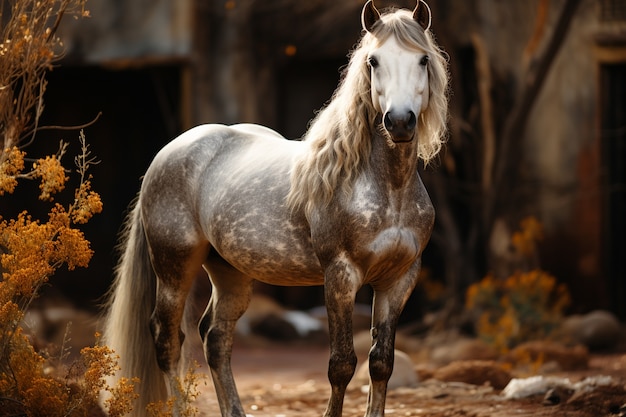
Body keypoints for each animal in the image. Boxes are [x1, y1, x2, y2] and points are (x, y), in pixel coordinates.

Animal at [101, 1, 444, 414]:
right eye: (373, 61)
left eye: (423, 59)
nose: (399, 121)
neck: (387, 188)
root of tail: (166, 154)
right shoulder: (340, 275)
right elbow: (342, 364)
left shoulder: (399, 279)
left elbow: (381, 363)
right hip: (174, 267)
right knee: (167, 340)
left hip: (229, 272)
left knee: (215, 338)